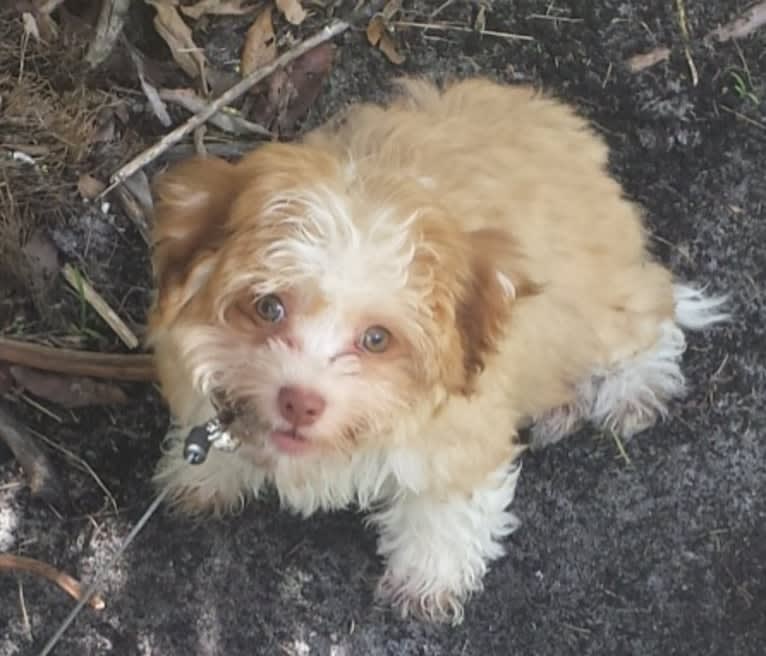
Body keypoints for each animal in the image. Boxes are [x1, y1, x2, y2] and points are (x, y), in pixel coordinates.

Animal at [147, 78, 728, 624]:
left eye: (376, 339)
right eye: (269, 307)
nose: (300, 401)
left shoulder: (461, 428)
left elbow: (448, 508)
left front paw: (427, 580)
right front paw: (204, 474)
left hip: (595, 298)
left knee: (647, 314)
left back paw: (635, 388)